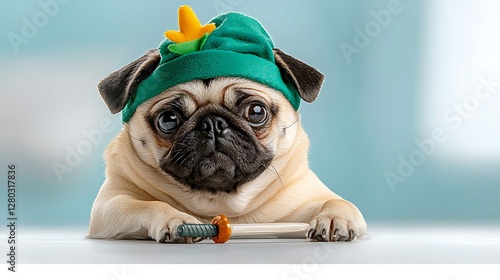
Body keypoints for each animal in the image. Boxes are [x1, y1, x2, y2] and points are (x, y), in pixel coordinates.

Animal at [87, 46, 368, 243]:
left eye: (256, 112)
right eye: (168, 119)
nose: (212, 124)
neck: (222, 201)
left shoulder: (301, 201)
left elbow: (336, 202)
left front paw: (333, 218)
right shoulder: (109, 206)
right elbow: (148, 204)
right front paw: (176, 219)